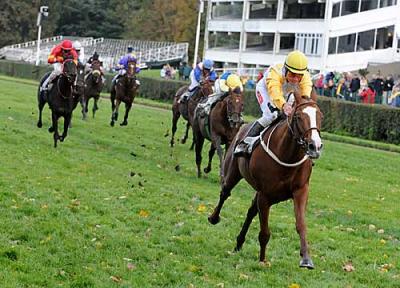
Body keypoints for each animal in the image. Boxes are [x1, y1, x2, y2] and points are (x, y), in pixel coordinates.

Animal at [208, 89, 324, 268]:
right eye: (298, 116)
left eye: (320, 116)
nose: (315, 146)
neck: (287, 156)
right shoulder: (265, 195)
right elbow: (264, 232)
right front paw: (262, 260)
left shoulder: (300, 191)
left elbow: (301, 225)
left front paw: (306, 258)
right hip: (233, 171)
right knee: (225, 192)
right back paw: (214, 218)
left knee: (251, 211)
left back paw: (239, 243)